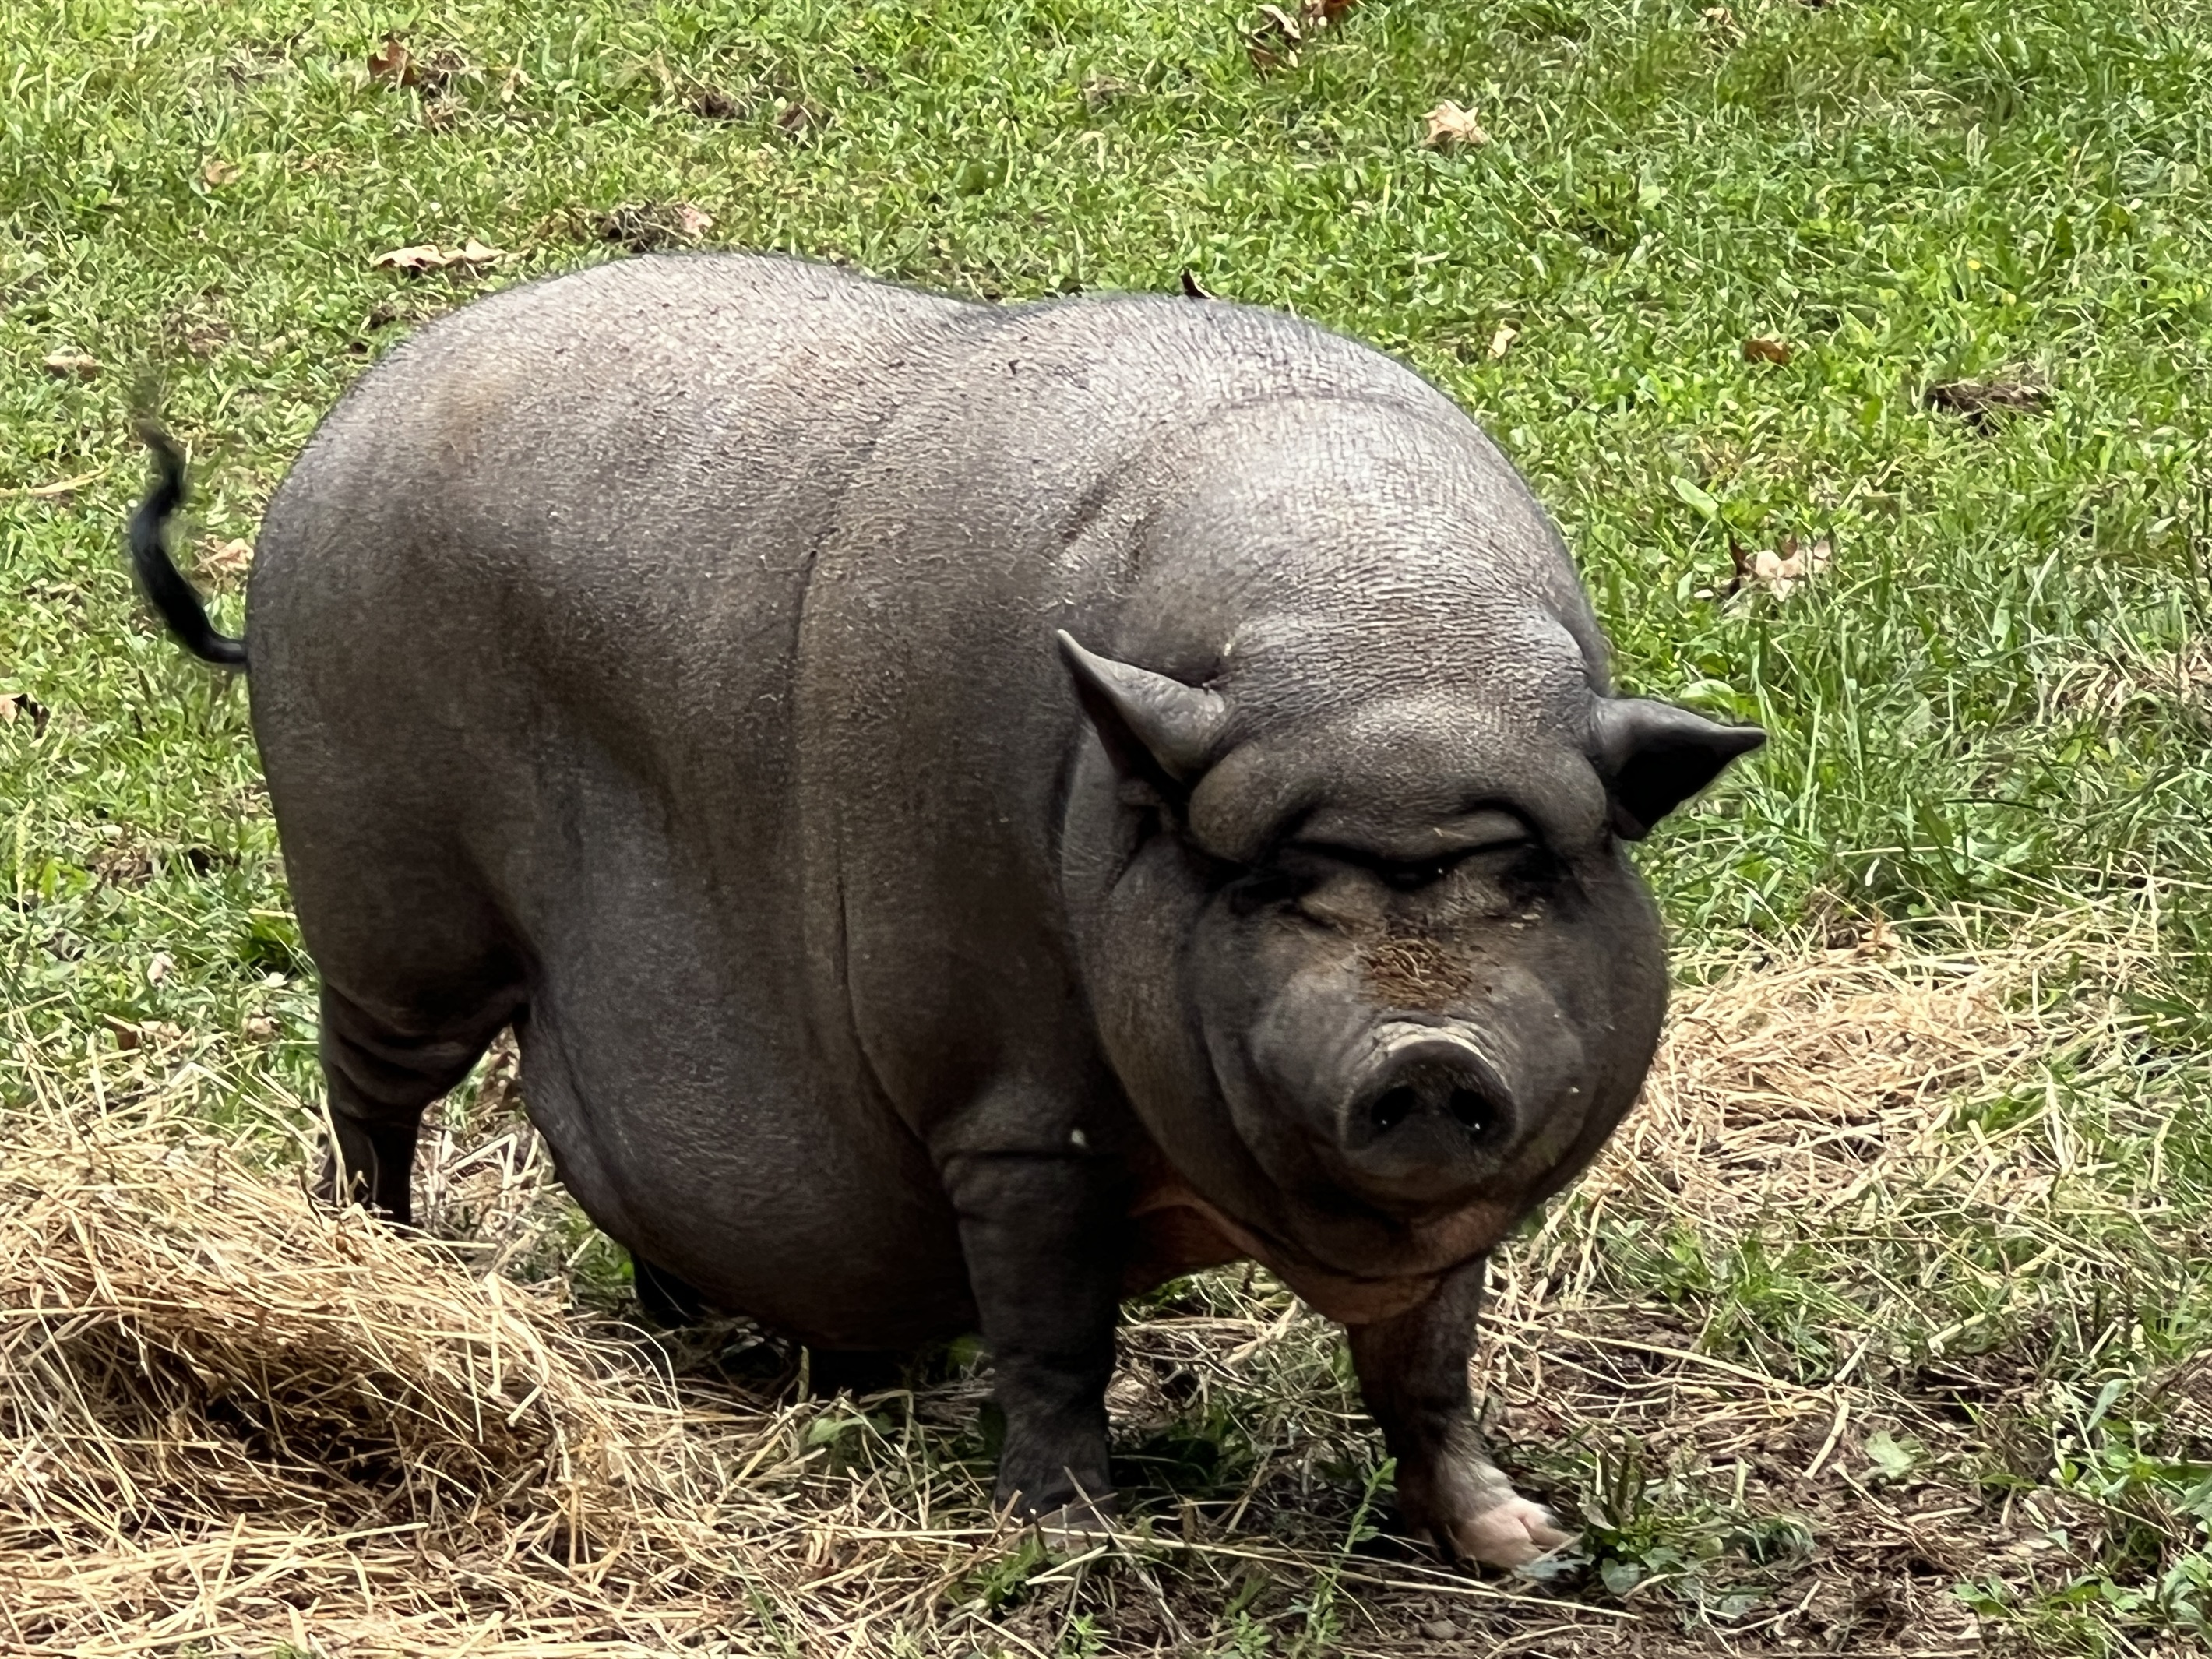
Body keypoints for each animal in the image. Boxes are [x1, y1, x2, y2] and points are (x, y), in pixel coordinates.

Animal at [128, 252, 1761, 1567]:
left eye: (1526, 880)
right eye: (1279, 889)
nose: (1427, 1051)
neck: (1387, 663)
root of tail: (327, 451)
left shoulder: (1447, 1215)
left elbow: (1427, 1368)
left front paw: (1532, 1549)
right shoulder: (1011, 1114)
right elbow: (1054, 1334)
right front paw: (1071, 1539)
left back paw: (695, 1332)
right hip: (391, 914)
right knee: (370, 1099)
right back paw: (385, 1261)